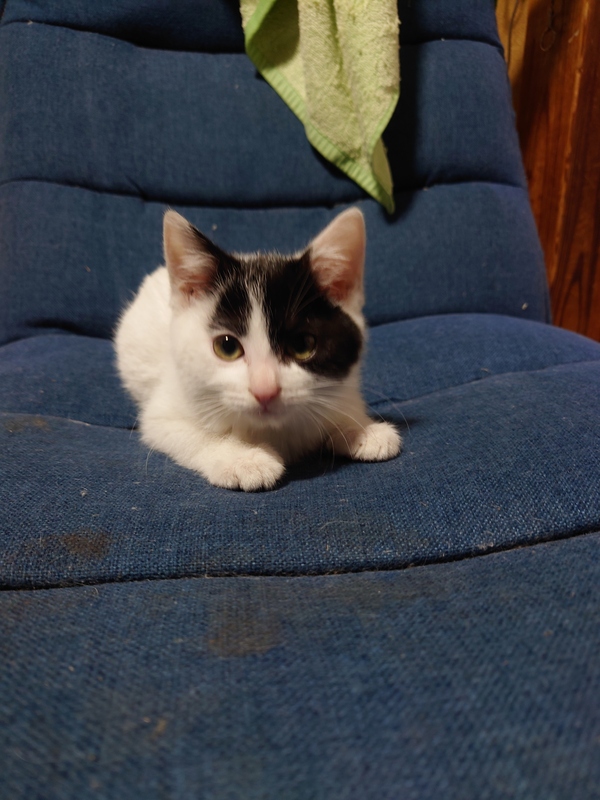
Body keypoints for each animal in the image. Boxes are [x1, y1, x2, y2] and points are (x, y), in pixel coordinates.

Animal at [114, 207, 401, 491]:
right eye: (227, 347)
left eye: (302, 345)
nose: (265, 391)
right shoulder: (163, 411)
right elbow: (187, 432)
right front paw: (242, 458)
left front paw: (360, 428)